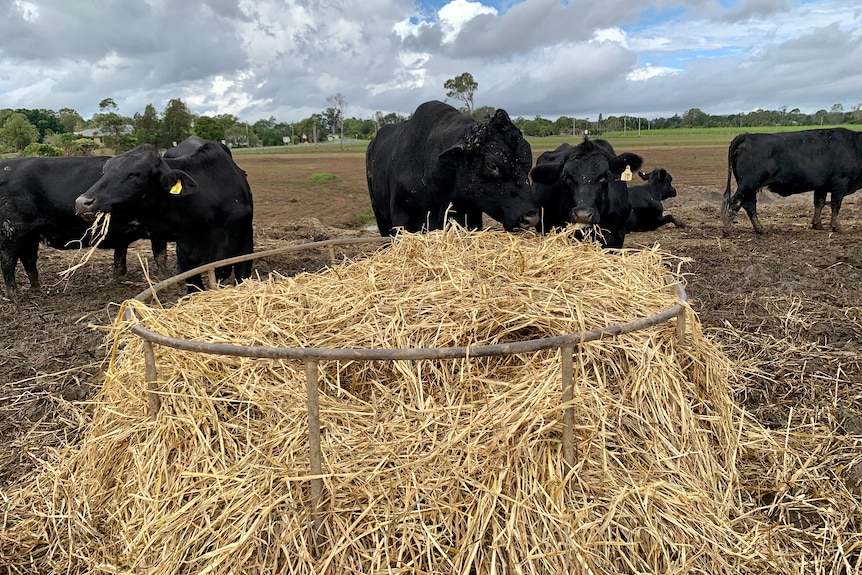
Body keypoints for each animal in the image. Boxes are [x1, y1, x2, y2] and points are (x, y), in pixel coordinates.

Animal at [0, 155, 167, 294]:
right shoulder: (158, 230)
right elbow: (160, 256)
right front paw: (163, 279)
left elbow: (120, 257)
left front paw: (118, 279)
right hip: (11, 231)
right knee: (8, 261)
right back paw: (14, 294)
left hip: (30, 235)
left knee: (28, 259)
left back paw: (36, 288)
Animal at [724, 128, 862, 232]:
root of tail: (747, 136)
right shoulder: (840, 183)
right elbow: (835, 205)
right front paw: (837, 227)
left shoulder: (821, 185)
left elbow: (819, 203)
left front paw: (817, 224)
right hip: (748, 185)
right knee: (735, 202)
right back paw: (727, 230)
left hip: (750, 187)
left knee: (749, 205)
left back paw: (760, 229)